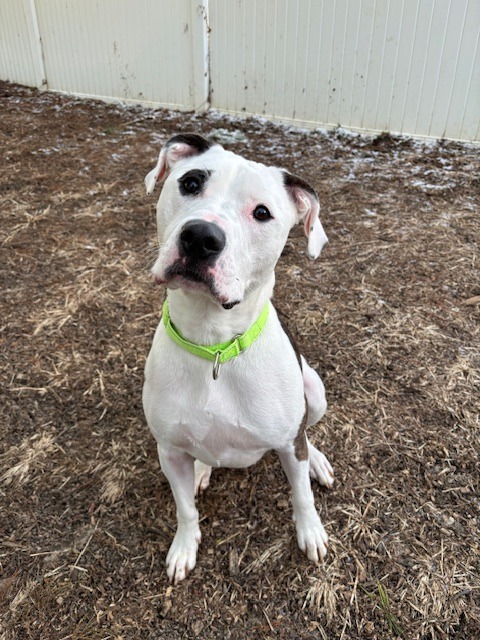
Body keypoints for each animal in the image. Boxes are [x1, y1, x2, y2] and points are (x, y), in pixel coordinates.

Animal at [142, 133, 334, 583]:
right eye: (191, 182)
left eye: (262, 213)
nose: (201, 237)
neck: (213, 344)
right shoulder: (168, 451)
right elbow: (184, 509)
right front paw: (184, 546)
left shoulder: (288, 443)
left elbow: (301, 495)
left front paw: (311, 531)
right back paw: (202, 470)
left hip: (315, 390)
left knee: (310, 430)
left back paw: (317, 461)